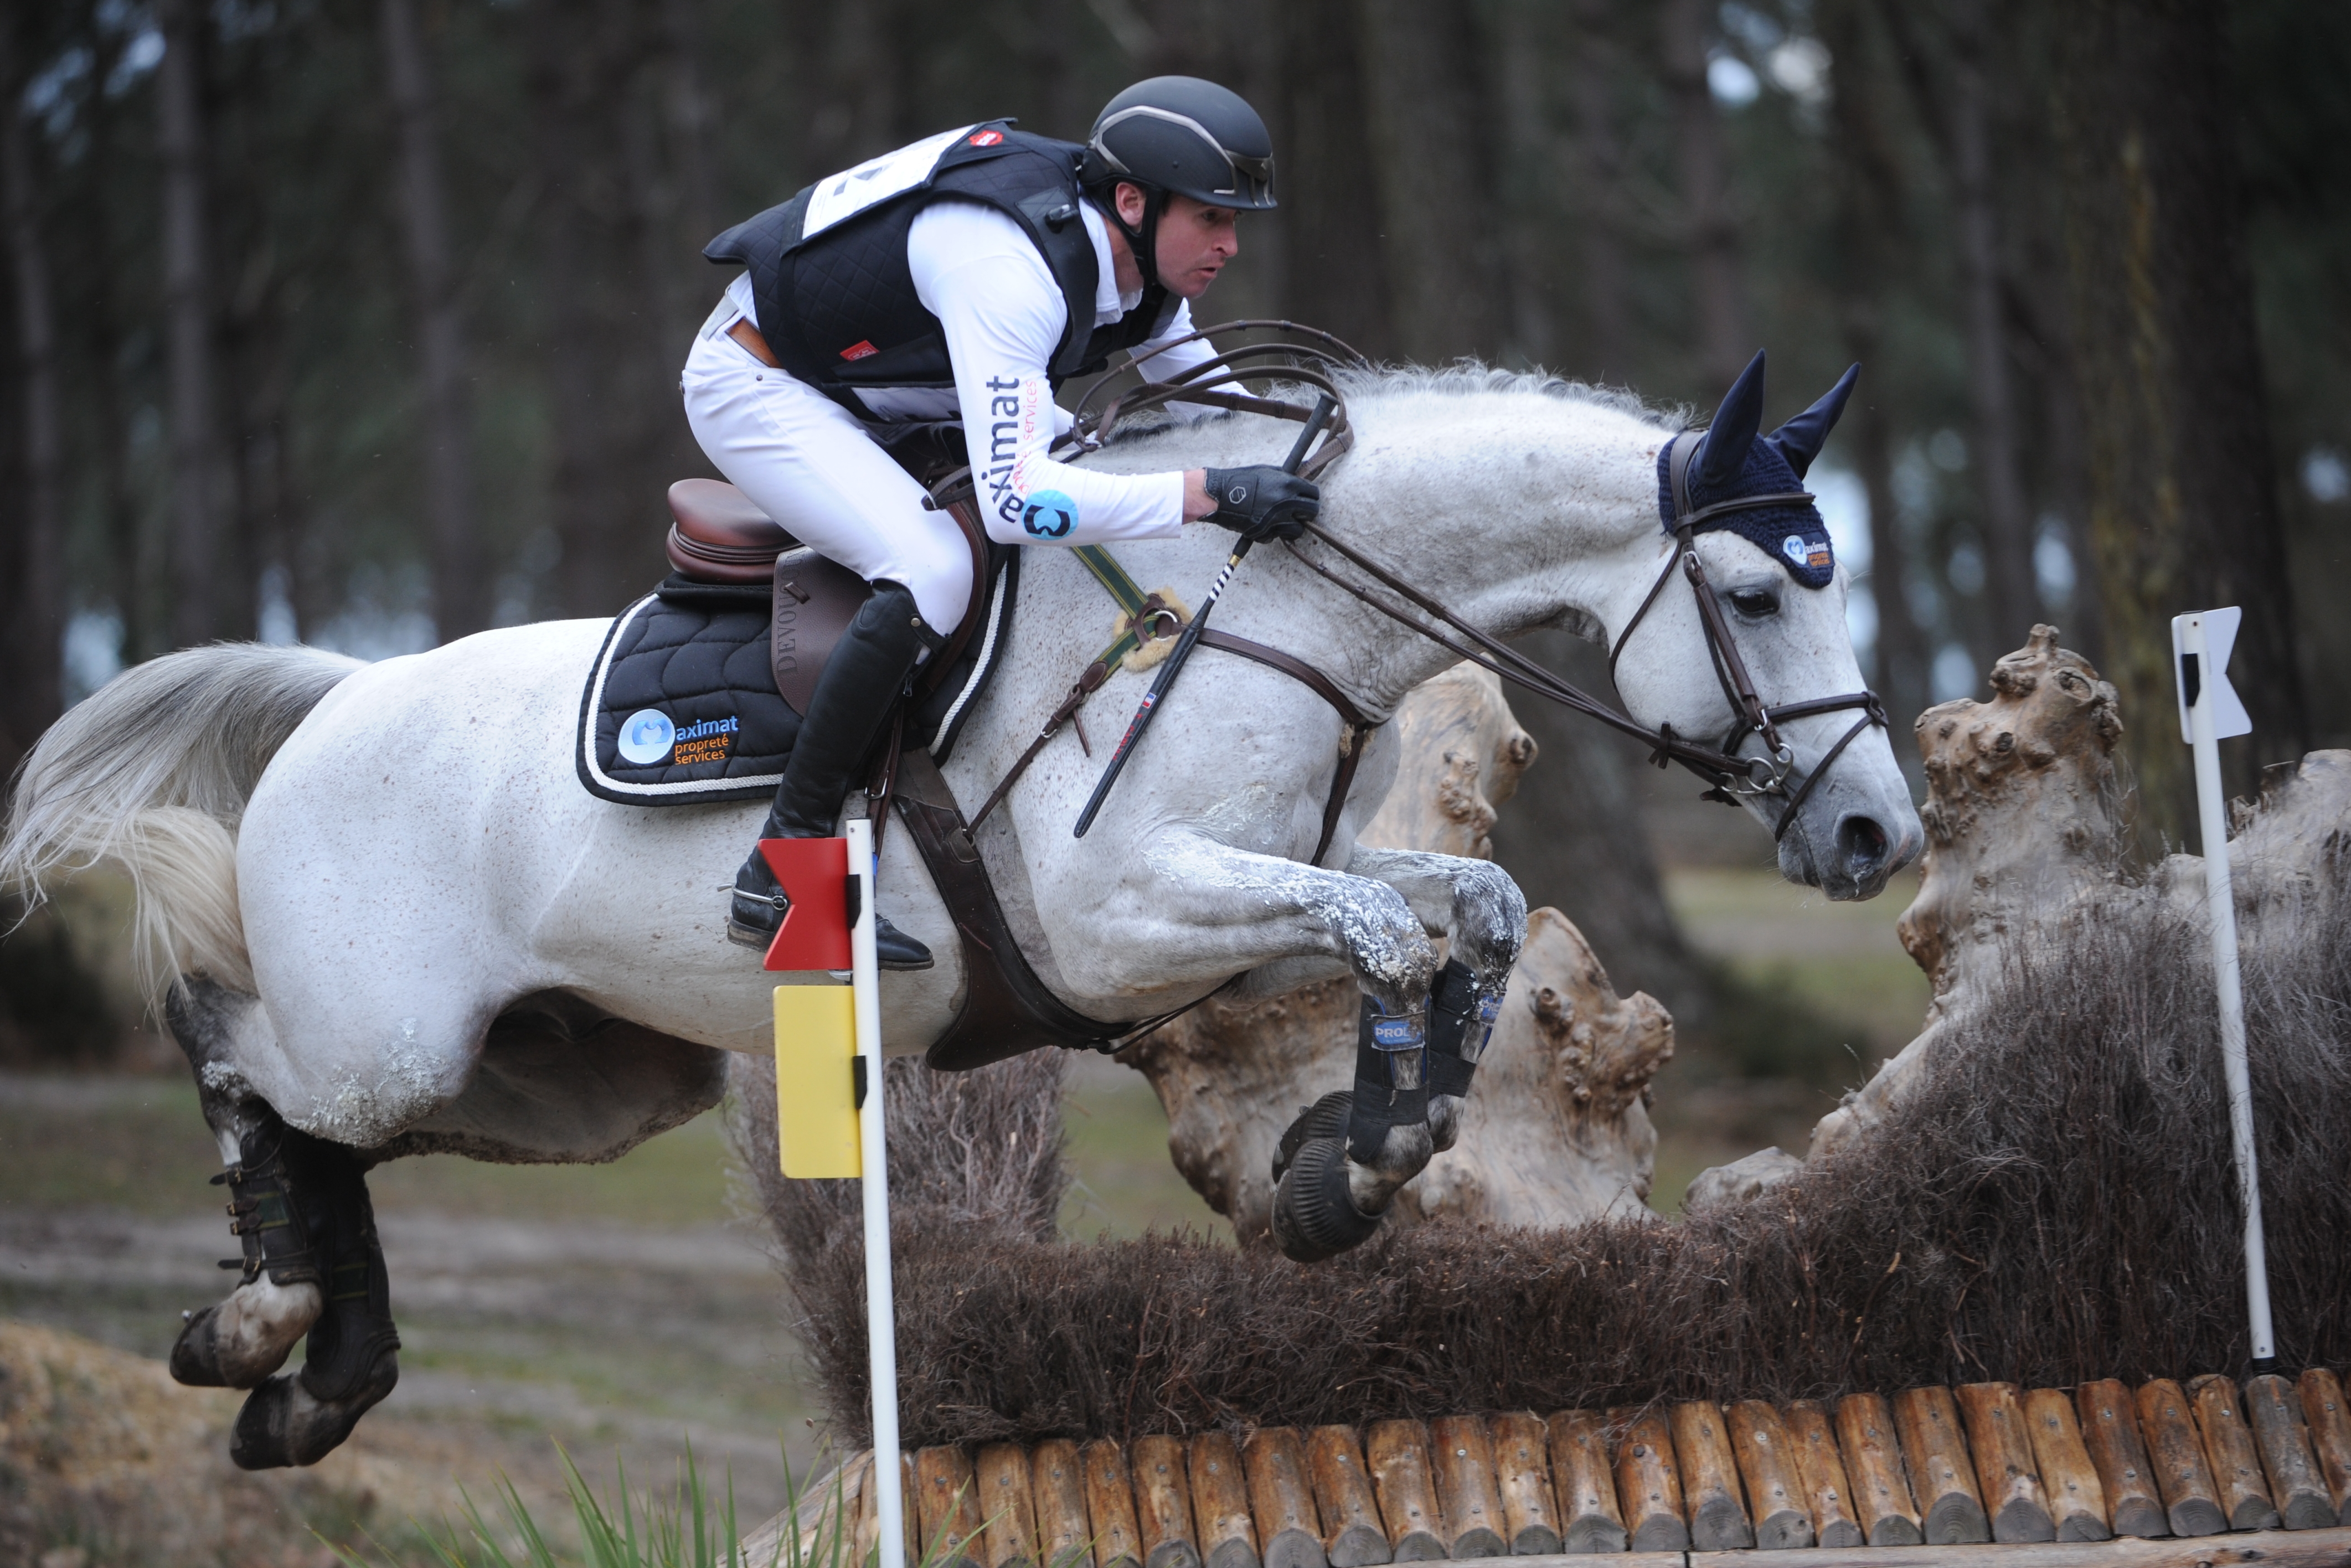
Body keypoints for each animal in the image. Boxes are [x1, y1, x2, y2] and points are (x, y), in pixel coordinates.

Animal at [9, 359, 1918, 1476]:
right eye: (1754, 594)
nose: (1874, 832)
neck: (1261, 604)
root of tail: (341, 689)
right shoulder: (1119, 921)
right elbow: (1387, 940)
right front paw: (1347, 1166)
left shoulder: (1245, 910)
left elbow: (1468, 914)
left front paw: (1357, 1159)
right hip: (387, 1035)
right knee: (231, 1043)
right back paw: (256, 1327)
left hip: (577, 1077)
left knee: (328, 1127)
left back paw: (313, 1380)